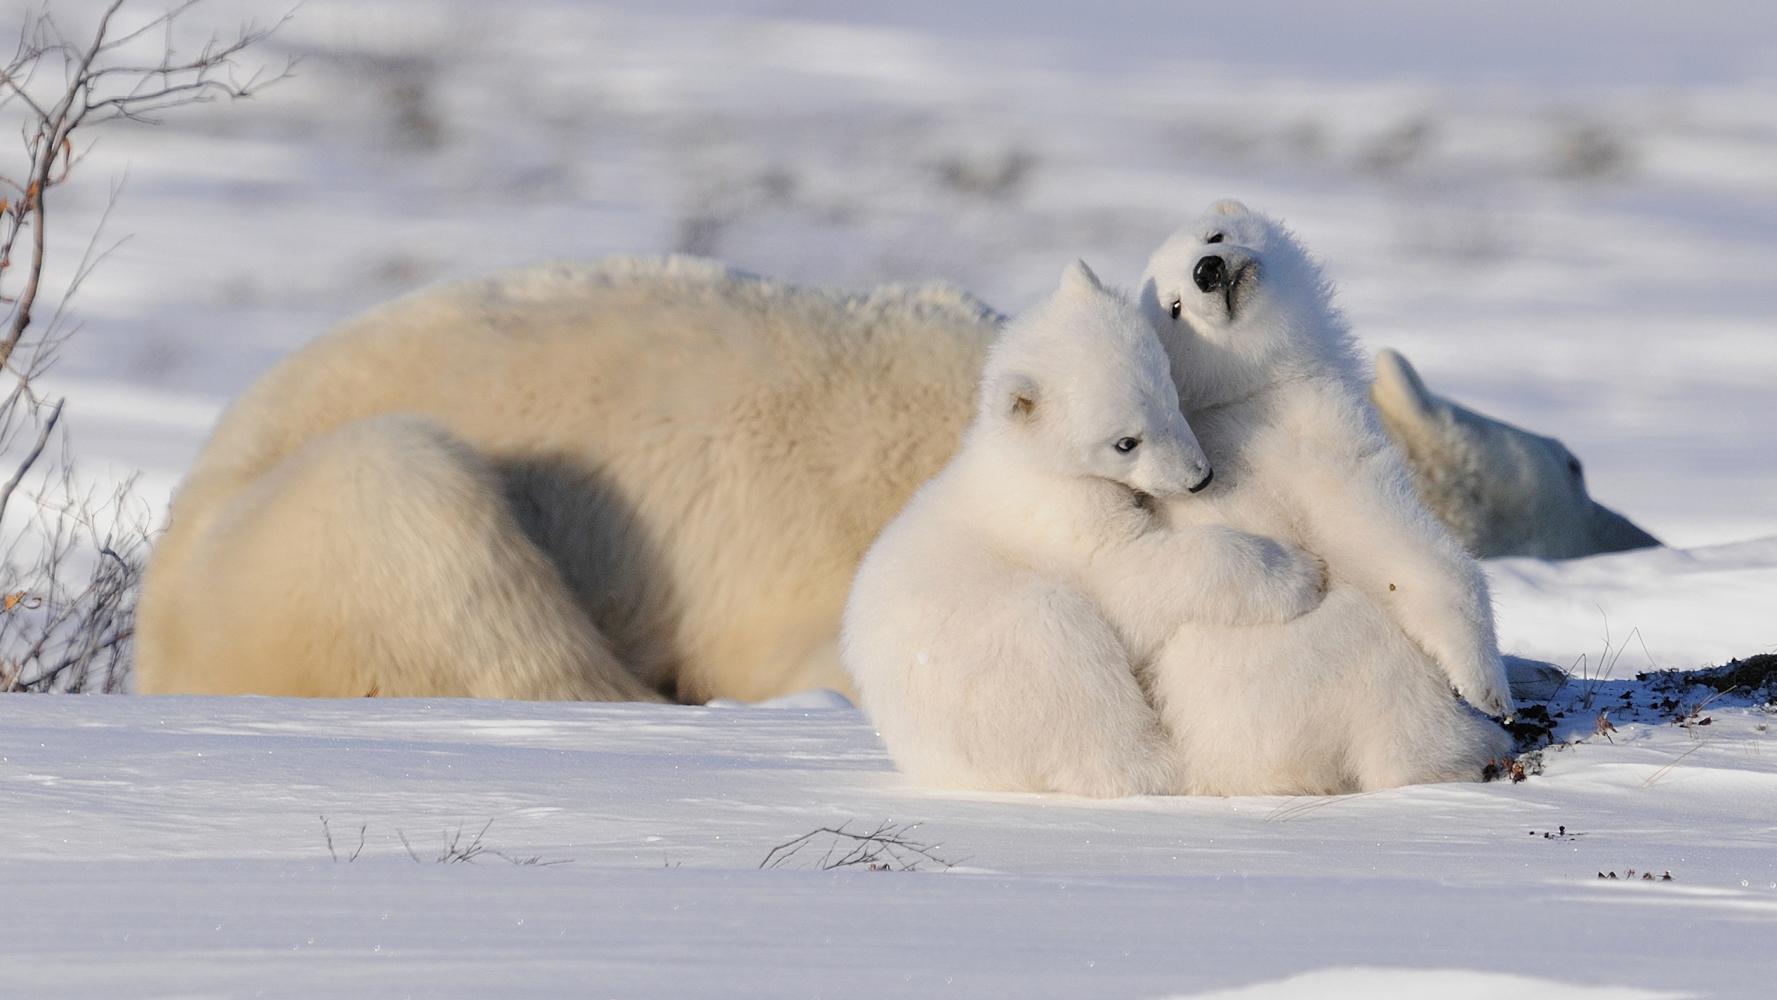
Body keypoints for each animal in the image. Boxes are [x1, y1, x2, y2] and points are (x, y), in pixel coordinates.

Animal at [838, 261, 1329, 799]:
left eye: (1169, 390)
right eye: (1125, 442)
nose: (1200, 477)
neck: (1033, 463)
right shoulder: (1062, 520)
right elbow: (1131, 576)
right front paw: (1301, 574)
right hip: (1008, 665)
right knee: (1078, 684)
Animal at [1137, 199, 1514, 795]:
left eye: (1213, 235)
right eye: (1174, 308)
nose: (1209, 270)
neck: (1248, 390)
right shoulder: (1312, 434)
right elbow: (1384, 534)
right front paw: (1487, 685)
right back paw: (1474, 749)